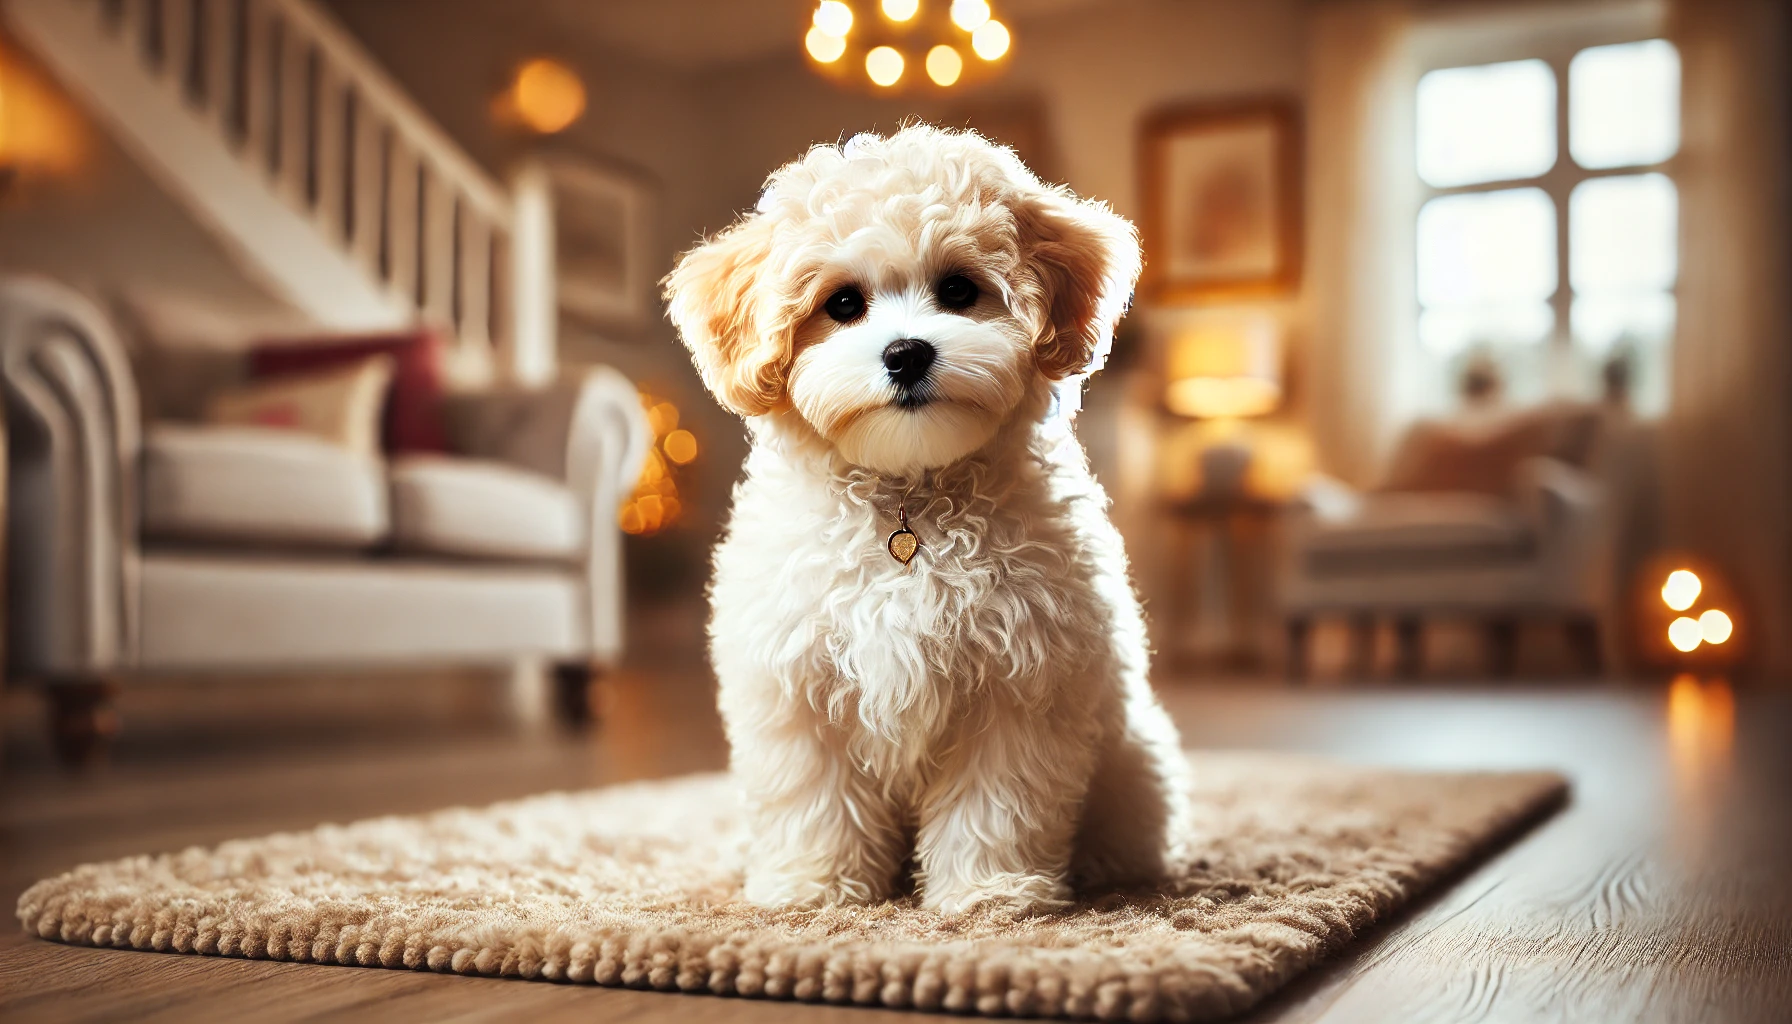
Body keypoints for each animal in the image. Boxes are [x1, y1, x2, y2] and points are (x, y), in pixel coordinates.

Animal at [666, 124, 1182, 918]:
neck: (909, 500)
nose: (906, 353)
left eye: (960, 290)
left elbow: (997, 802)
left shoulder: (1020, 684)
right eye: (843, 303)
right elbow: (814, 799)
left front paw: (989, 893)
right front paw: (815, 888)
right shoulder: (798, 688)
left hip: (1133, 760)